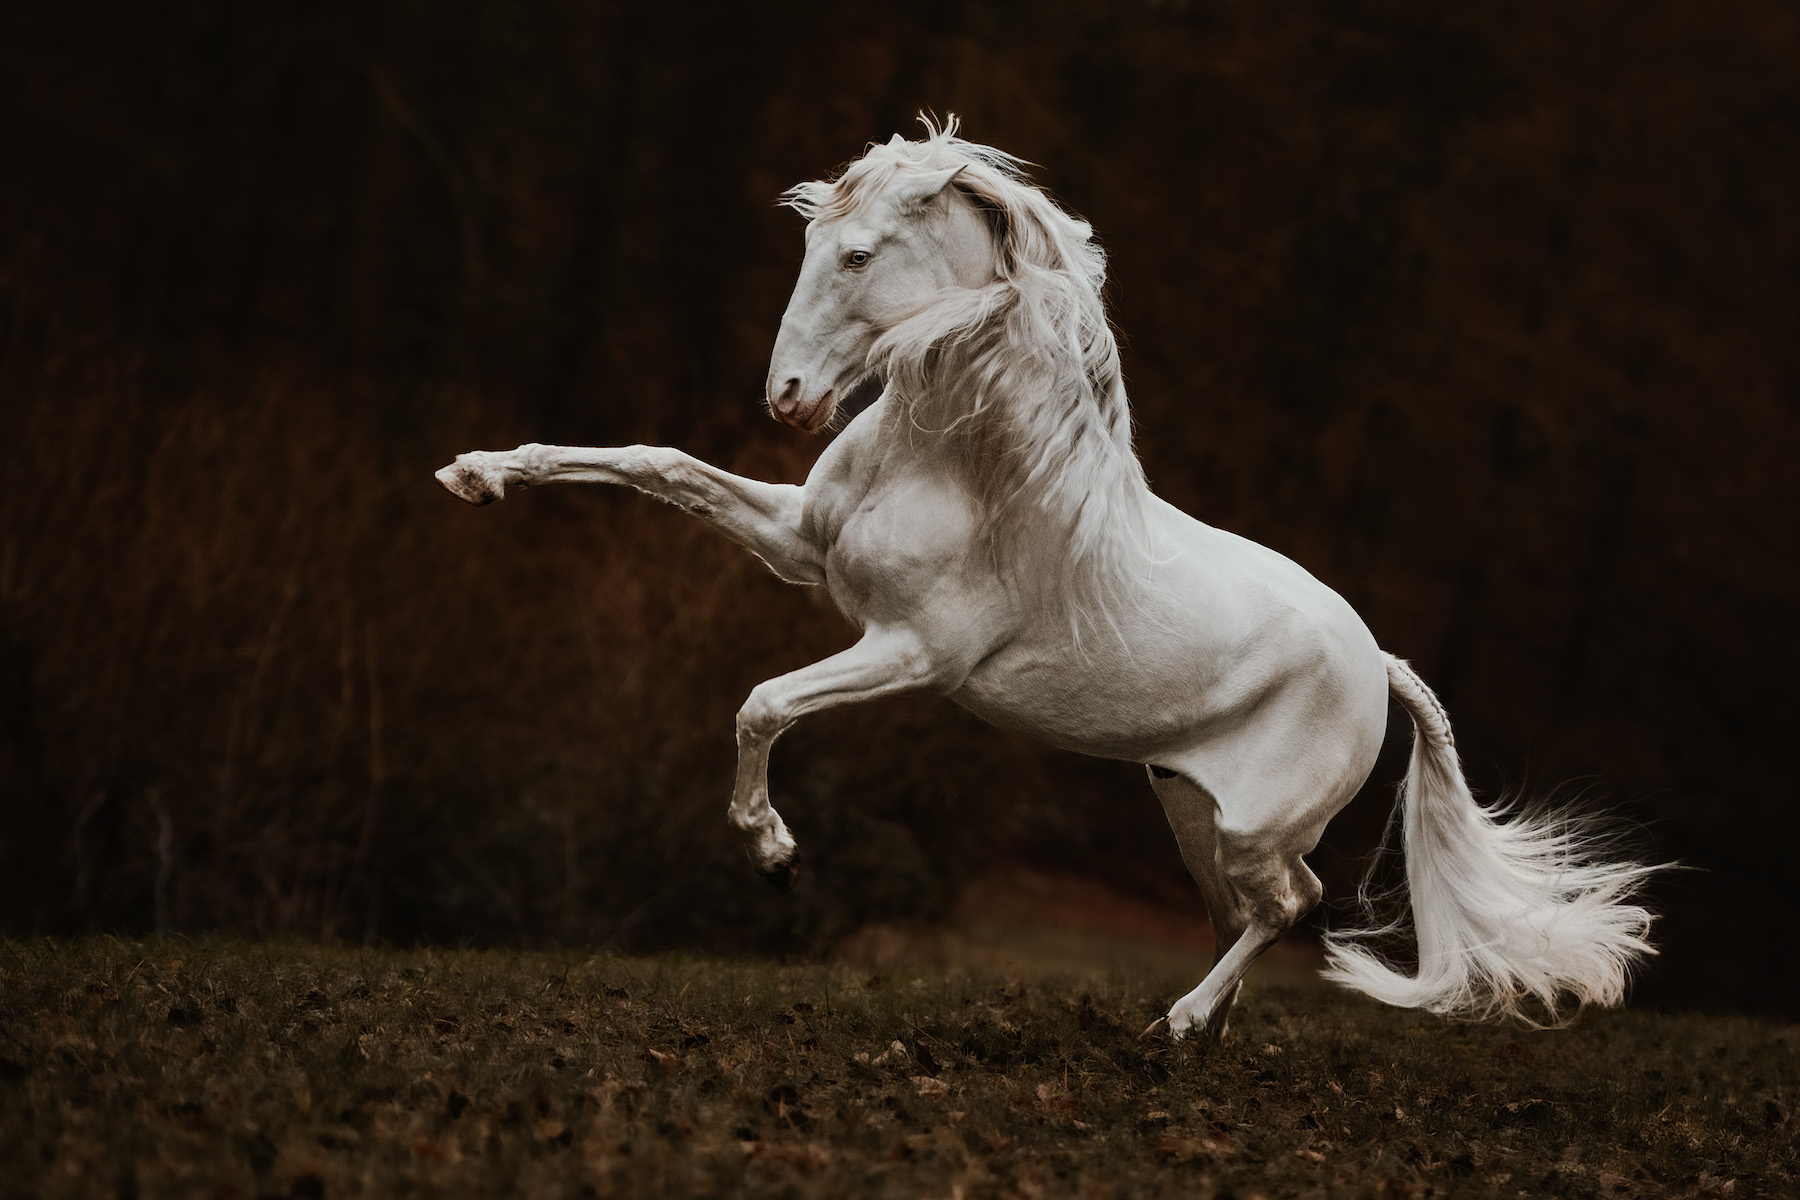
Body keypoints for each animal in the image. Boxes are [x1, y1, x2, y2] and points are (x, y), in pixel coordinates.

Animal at [436, 118, 1656, 1039]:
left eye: (859, 255)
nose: (787, 398)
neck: (959, 459)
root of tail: (1380, 662)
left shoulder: (911, 654)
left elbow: (762, 702)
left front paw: (775, 857)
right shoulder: (799, 547)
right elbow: (656, 465)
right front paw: (478, 474)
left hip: (1257, 826)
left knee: (1294, 905)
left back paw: (1177, 1026)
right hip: (1189, 811)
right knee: (1248, 913)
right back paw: (1197, 1031)